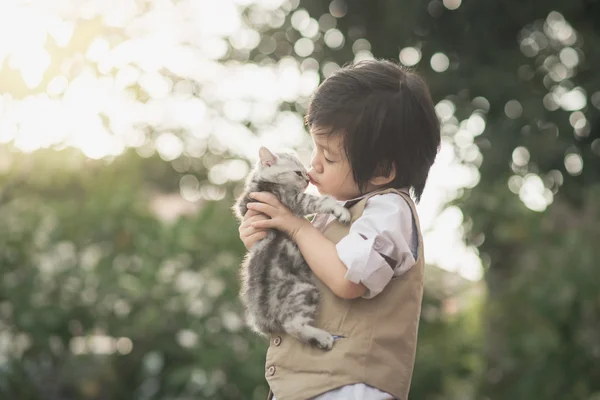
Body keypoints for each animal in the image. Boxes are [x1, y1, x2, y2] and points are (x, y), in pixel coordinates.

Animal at [234, 147, 352, 350]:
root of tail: (266, 315)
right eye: (298, 173)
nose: (307, 180)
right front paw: (340, 209)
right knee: (292, 325)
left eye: (305, 173)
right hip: (305, 291)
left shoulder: (245, 205)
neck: (260, 183)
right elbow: (320, 201)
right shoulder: (293, 199)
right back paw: (323, 338)